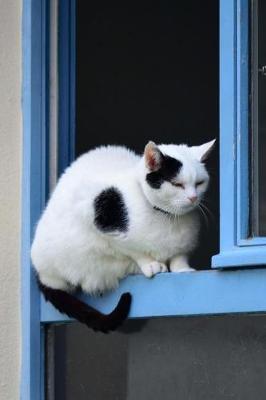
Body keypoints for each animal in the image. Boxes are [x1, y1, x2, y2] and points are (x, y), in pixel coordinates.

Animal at [31, 139, 215, 332]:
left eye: (200, 183)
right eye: (177, 184)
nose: (193, 198)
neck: (169, 218)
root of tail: (41, 274)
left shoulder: (183, 246)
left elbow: (179, 256)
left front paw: (181, 268)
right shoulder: (100, 219)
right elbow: (134, 250)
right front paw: (149, 263)